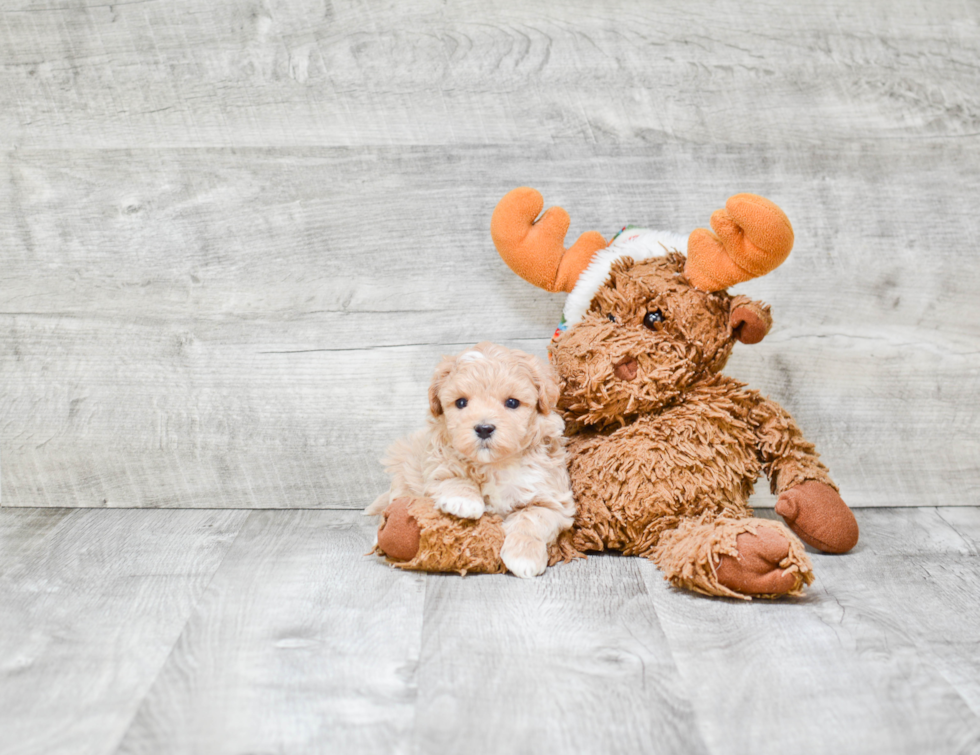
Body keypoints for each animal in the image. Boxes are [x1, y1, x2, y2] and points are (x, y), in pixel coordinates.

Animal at [372, 342, 580, 580]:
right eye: (461, 402)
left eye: (512, 402)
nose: (484, 428)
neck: (495, 464)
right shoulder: (434, 460)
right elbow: (449, 475)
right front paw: (463, 500)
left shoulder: (553, 498)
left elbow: (532, 519)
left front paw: (523, 556)